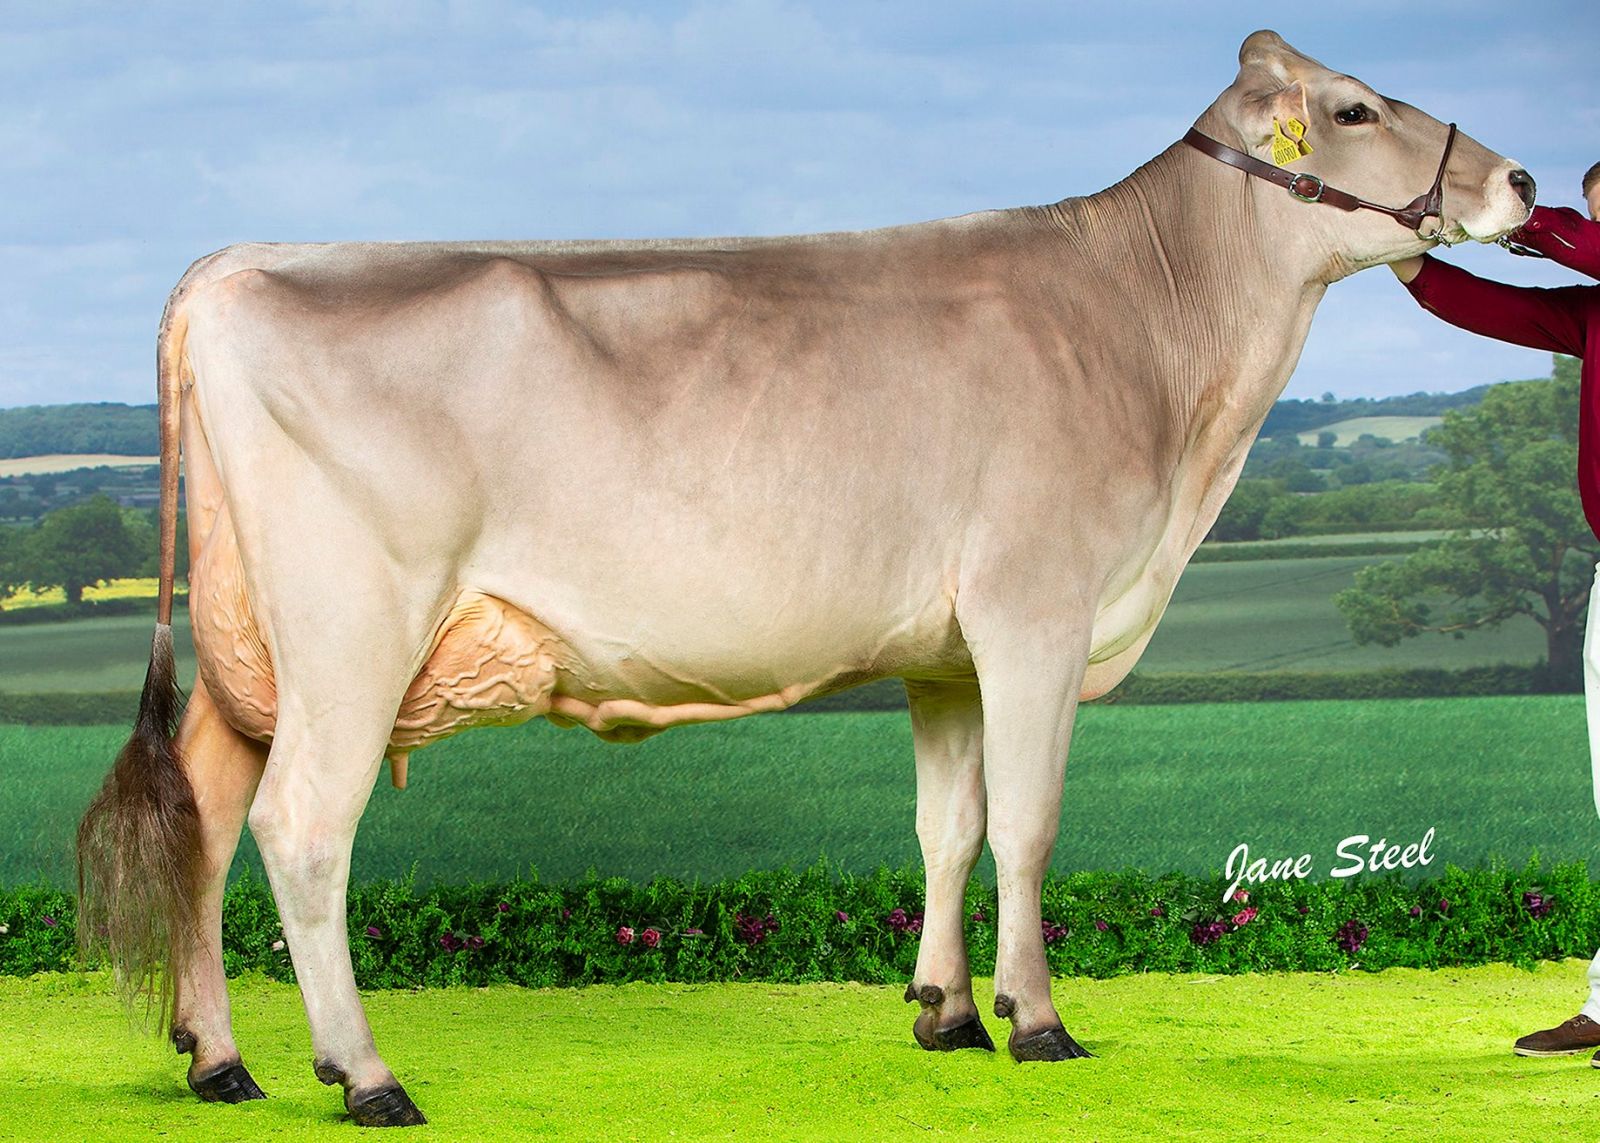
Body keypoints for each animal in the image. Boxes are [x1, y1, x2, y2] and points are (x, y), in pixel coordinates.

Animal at [77, 30, 1533, 1127]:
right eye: (1353, 107)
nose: (1519, 177)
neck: (1158, 346)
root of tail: (234, 265)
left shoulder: (947, 651)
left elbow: (948, 826)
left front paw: (947, 1011)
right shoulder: (1036, 612)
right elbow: (1030, 823)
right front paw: (1039, 1020)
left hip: (251, 644)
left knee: (204, 812)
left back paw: (218, 1058)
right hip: (351, 634)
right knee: (301, 828)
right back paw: (365, 1073)